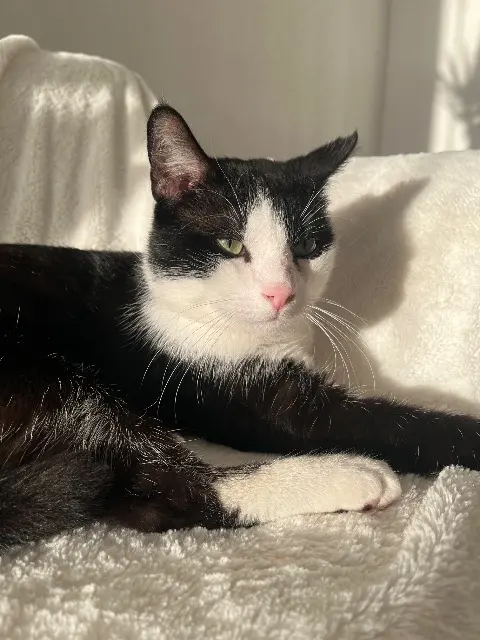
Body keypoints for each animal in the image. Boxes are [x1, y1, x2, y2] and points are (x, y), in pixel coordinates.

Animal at [0, 103, 478, 551]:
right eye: (231, 244)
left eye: (306, 245)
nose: (280, 293)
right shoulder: (234, 387)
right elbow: (378, 423)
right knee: (162, 490)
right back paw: (350, 473)